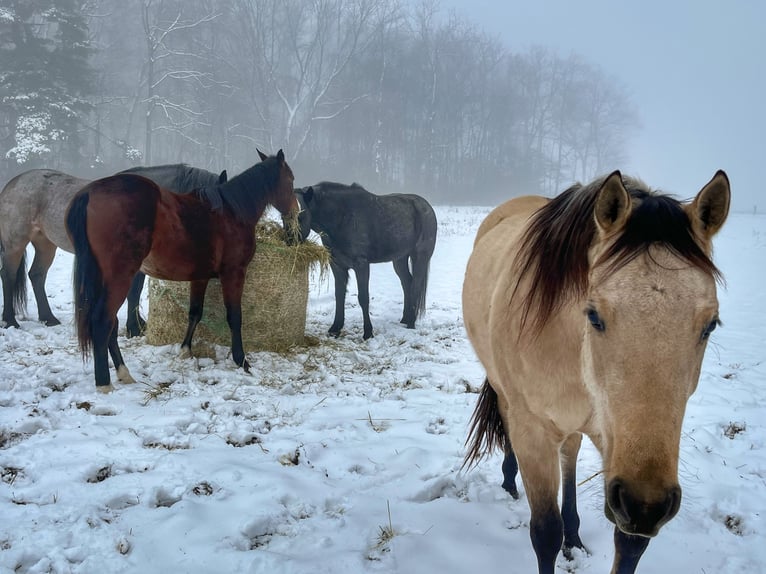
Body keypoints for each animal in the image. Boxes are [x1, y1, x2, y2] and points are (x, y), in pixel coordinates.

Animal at [0, 164, 227, 336]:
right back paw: (10, 321)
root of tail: (13, 183)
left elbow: (135, 292)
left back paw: (48, 318)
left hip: (45, 243)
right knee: (8, 275)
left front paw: (138, 324)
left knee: (37, 275)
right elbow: (133, 292)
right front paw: (134, 328)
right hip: (15, 242)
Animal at [65, 149, 297, 392]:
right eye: (291, 180)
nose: (295, 212)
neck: (231, 212)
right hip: (119, 278)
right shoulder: (234, 273)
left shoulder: (200, 277)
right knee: (103, 321)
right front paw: (241, 360)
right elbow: (234, 317)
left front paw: (185, 350)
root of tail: (91, 192)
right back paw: (105, 383)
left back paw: (123, 373)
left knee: (109, 323)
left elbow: (195, 312)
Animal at [295, 182, 437, 340]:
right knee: (407, 283)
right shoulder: (337, 265)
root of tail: (426, 207)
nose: (290, 240)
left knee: (415, 286)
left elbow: (363, 298)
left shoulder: (361, 265)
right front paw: (336, 328)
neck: (342, 216)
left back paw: (411, 322)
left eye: (300, 215)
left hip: (420, 257)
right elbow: (339, 295)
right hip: (399, 259)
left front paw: (368, 332)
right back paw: (405, 319)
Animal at [462, 170, 730, 574]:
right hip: (504, 390)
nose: (645, 504)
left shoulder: (616, 444)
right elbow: (545, 533)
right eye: (594, 315)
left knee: (571, 452)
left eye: (710, 325)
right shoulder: (534, 433)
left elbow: (630, 543)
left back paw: (574, 534)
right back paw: (510, 480)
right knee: (507, 418)